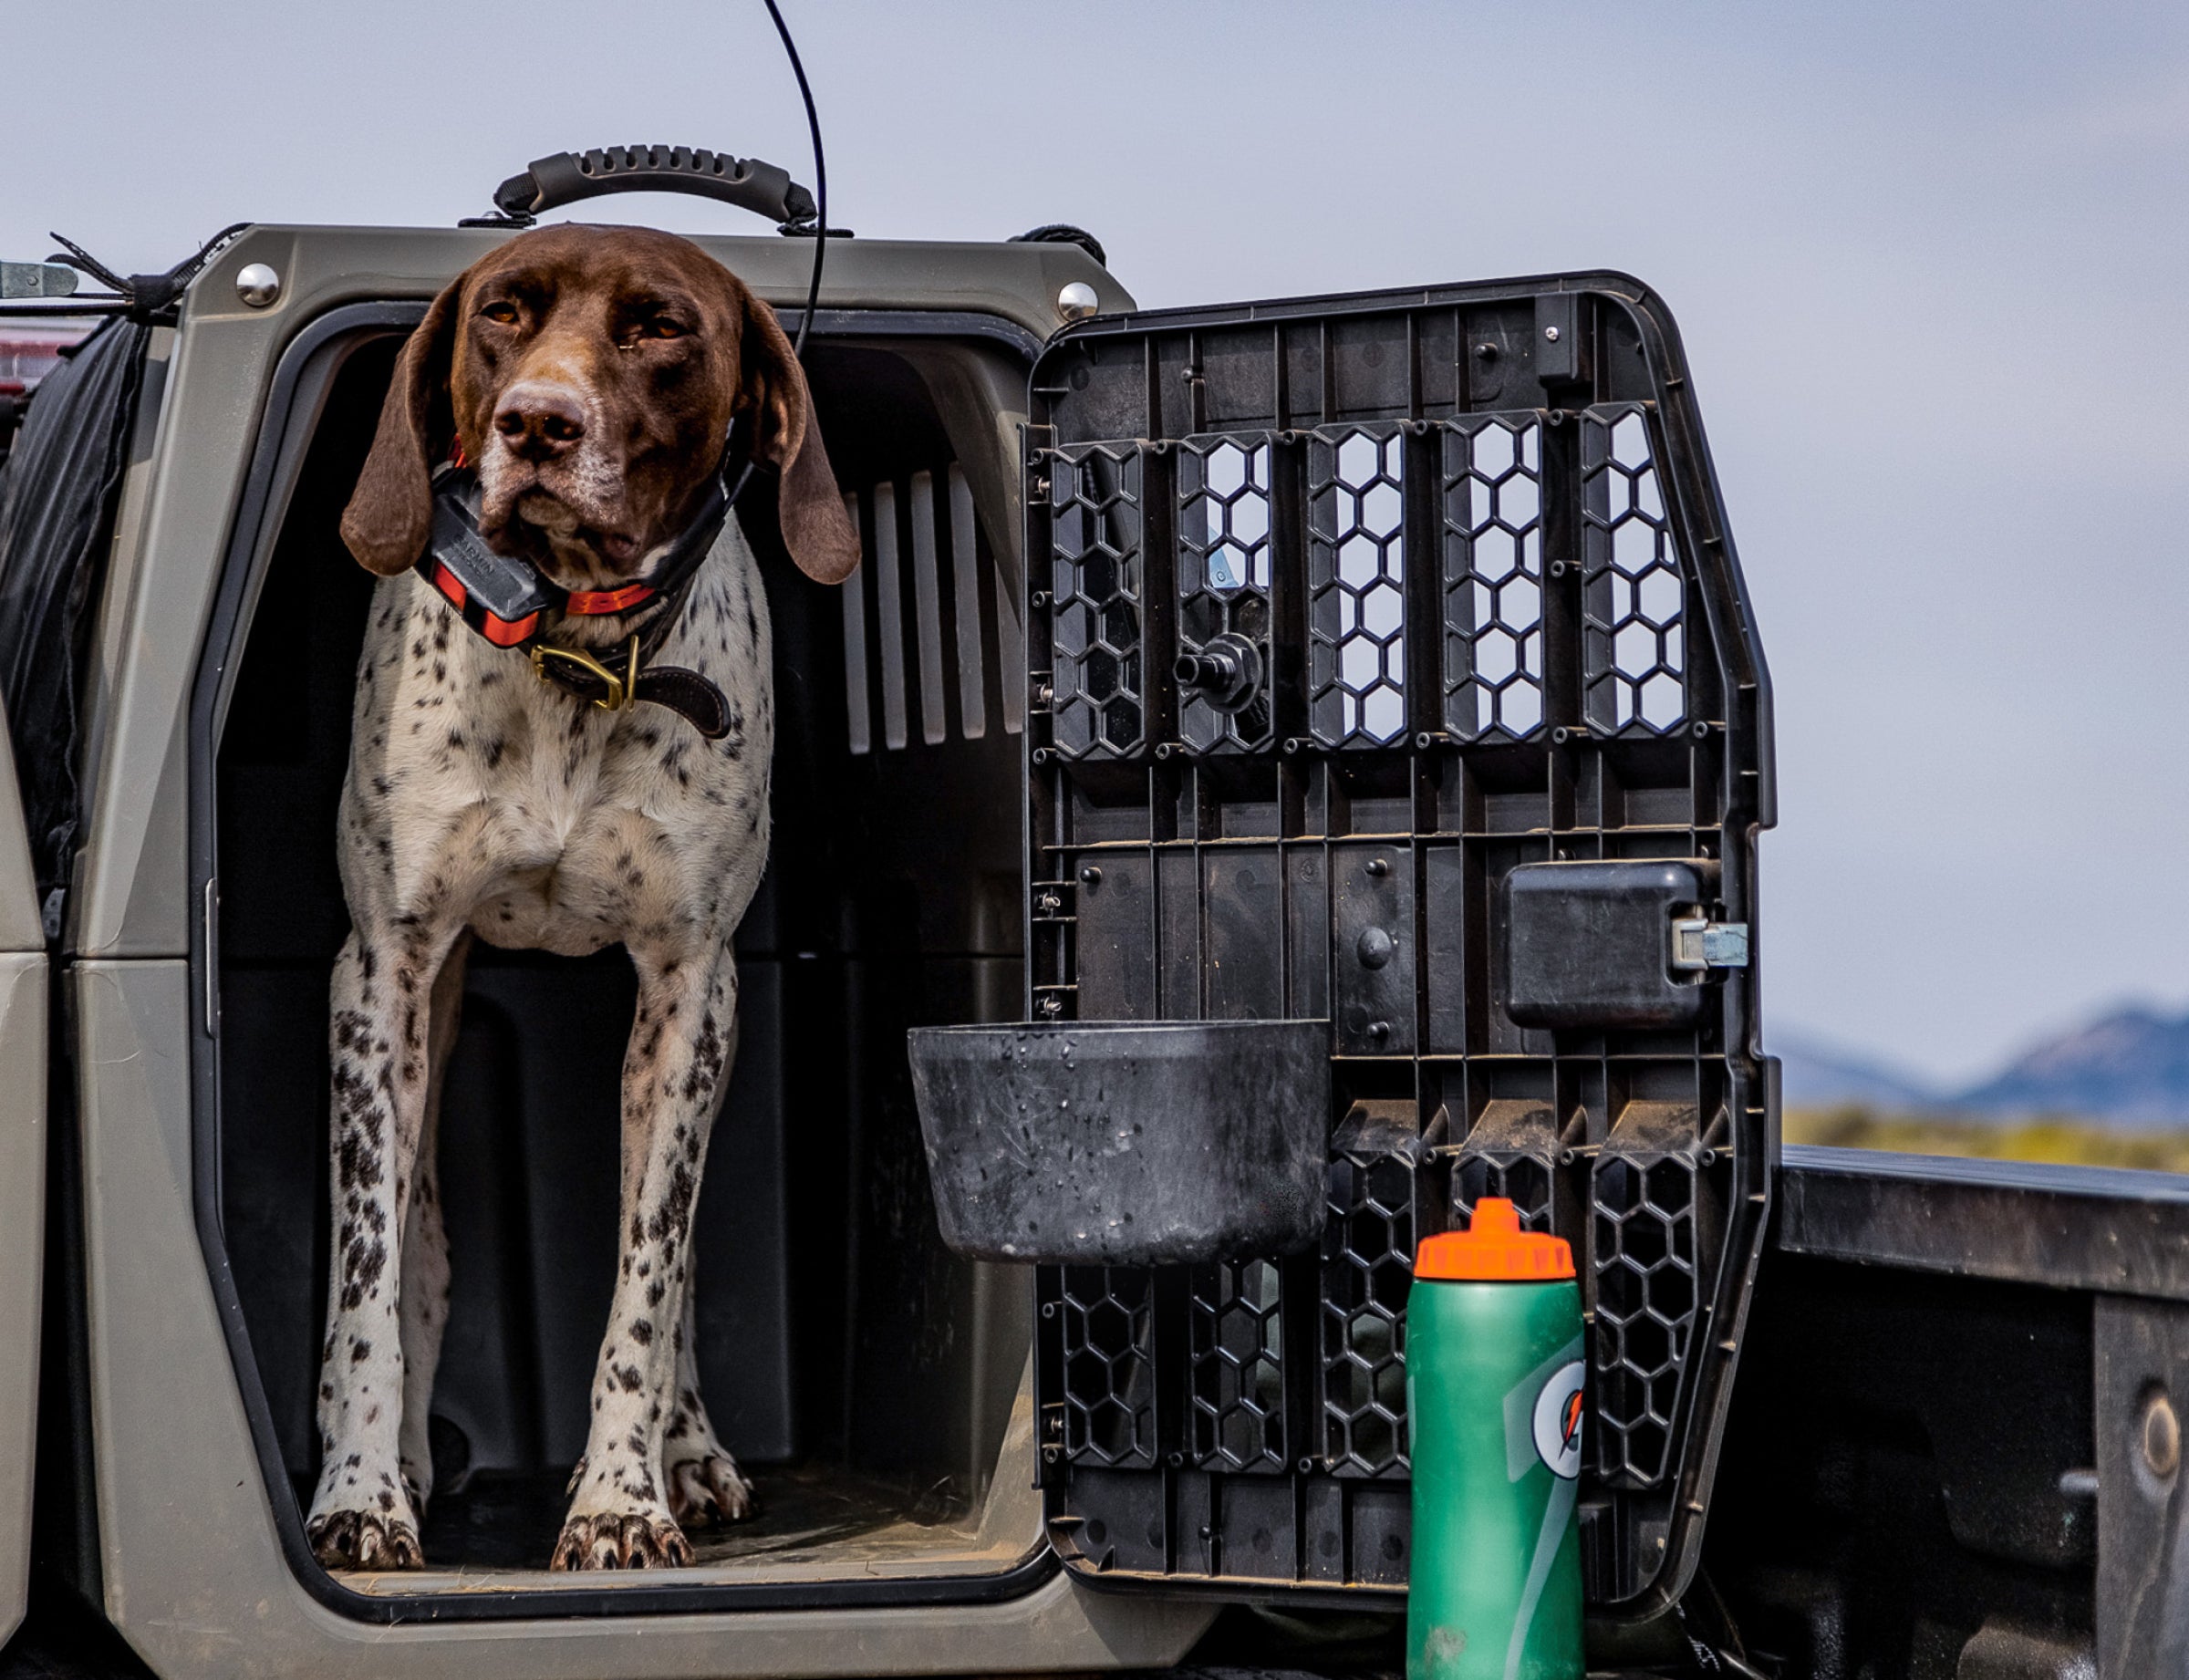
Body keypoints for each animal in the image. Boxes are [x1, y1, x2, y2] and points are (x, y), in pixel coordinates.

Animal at [308, 226, 854, 1574]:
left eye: (661, 325)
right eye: (501, 313)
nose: (538, 424)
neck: (574, 654)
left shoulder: (689, 994)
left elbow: (647, 1283)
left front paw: (621, 1496)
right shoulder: (382, 975)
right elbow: (371, 1273)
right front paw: (359, 1491)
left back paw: (690, 1448)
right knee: (416, 1244)